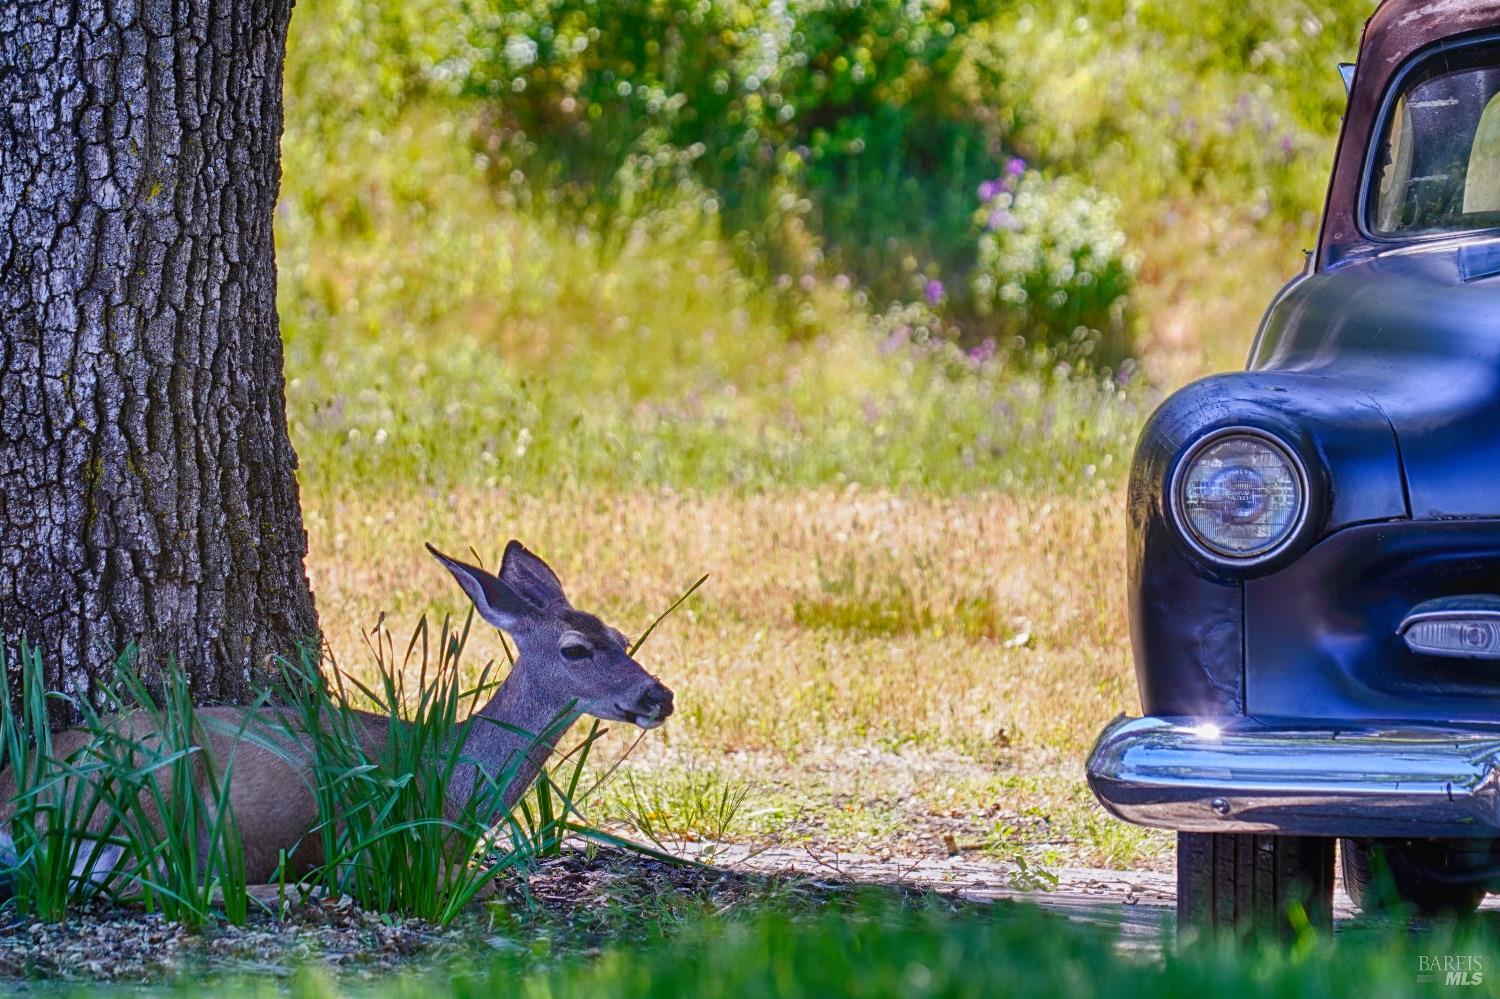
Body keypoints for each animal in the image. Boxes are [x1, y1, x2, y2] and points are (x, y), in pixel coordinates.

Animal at [0, 537, 675, 888]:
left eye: (622, 635)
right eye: (576, 649)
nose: (659, 696)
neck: (454, 786)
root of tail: (14, 793)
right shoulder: (378, 838)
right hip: (141, 793)